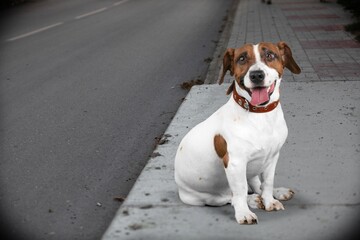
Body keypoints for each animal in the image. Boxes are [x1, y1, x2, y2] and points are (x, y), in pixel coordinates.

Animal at [174, 41, 300, 225]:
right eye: (242, 59)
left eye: (270, 55)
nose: (256, 75)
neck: (260, 115)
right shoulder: (235, 163)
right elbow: (239, 191)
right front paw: (243, 212)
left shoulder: (272, 157)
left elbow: (267, 183)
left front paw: (270, 200)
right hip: (202, 197)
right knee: (228, 197)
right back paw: (251, 200)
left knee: (256, 185)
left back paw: (275, 193)